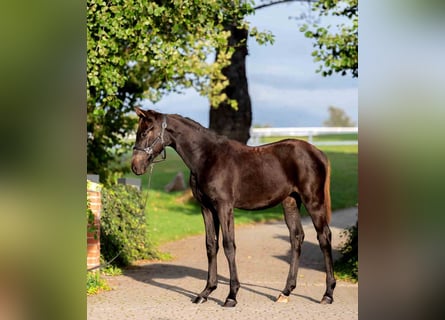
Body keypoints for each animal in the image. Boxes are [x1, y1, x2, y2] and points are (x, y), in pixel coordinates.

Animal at [130, 108, 334, 308]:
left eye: (146, 132)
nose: (135, 166)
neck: (207, 158)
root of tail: (319, 153)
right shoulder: (207, 208)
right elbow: (211, 245)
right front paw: (205, 292)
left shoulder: (224, 207)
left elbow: (229, 245)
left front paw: (231, 296)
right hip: (290, 202)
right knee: (296, 237)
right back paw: (285, 292)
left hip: (313, 201)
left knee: (324, 237)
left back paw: (328, 294)